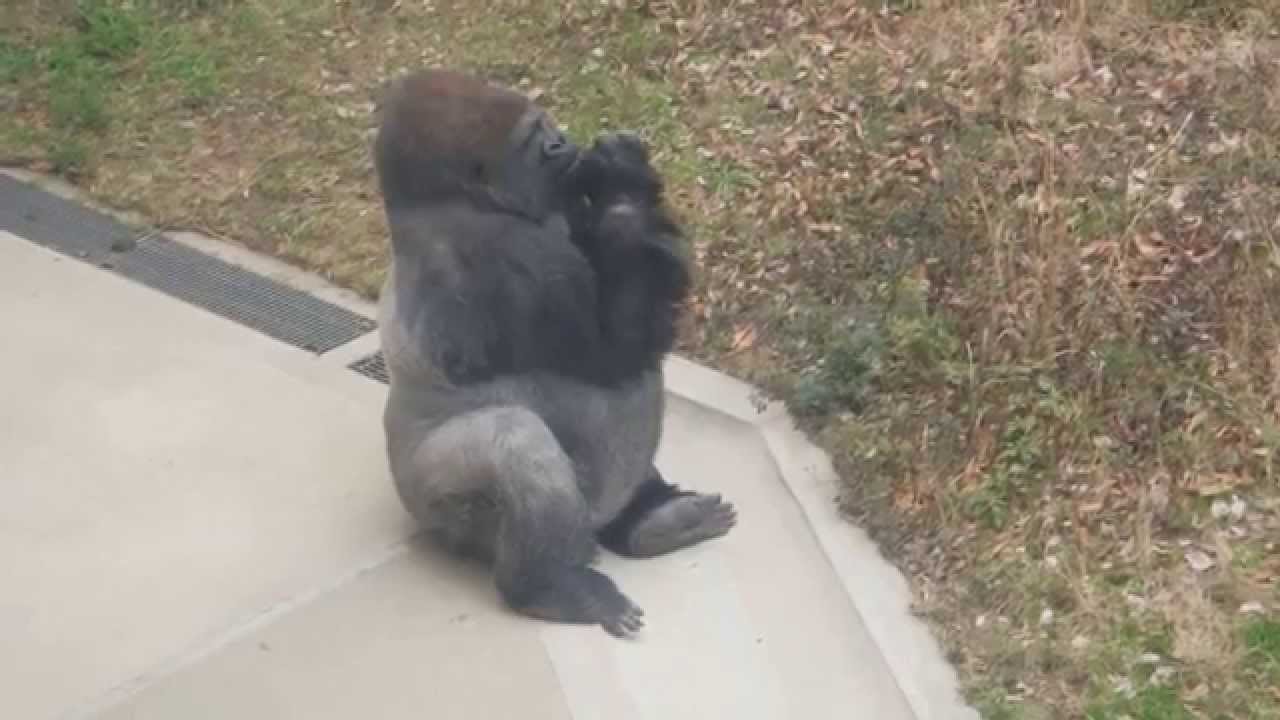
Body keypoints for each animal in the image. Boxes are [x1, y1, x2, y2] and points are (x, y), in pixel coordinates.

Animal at [373, 69, 736, 638]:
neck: (442, 202)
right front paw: (624, 185)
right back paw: (550, 587)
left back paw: (650, 521)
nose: (564, 143)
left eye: (546, 125)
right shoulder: (501, 254)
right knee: (516, 442)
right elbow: (619, 343)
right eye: (534, 140)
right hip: (437, 509)